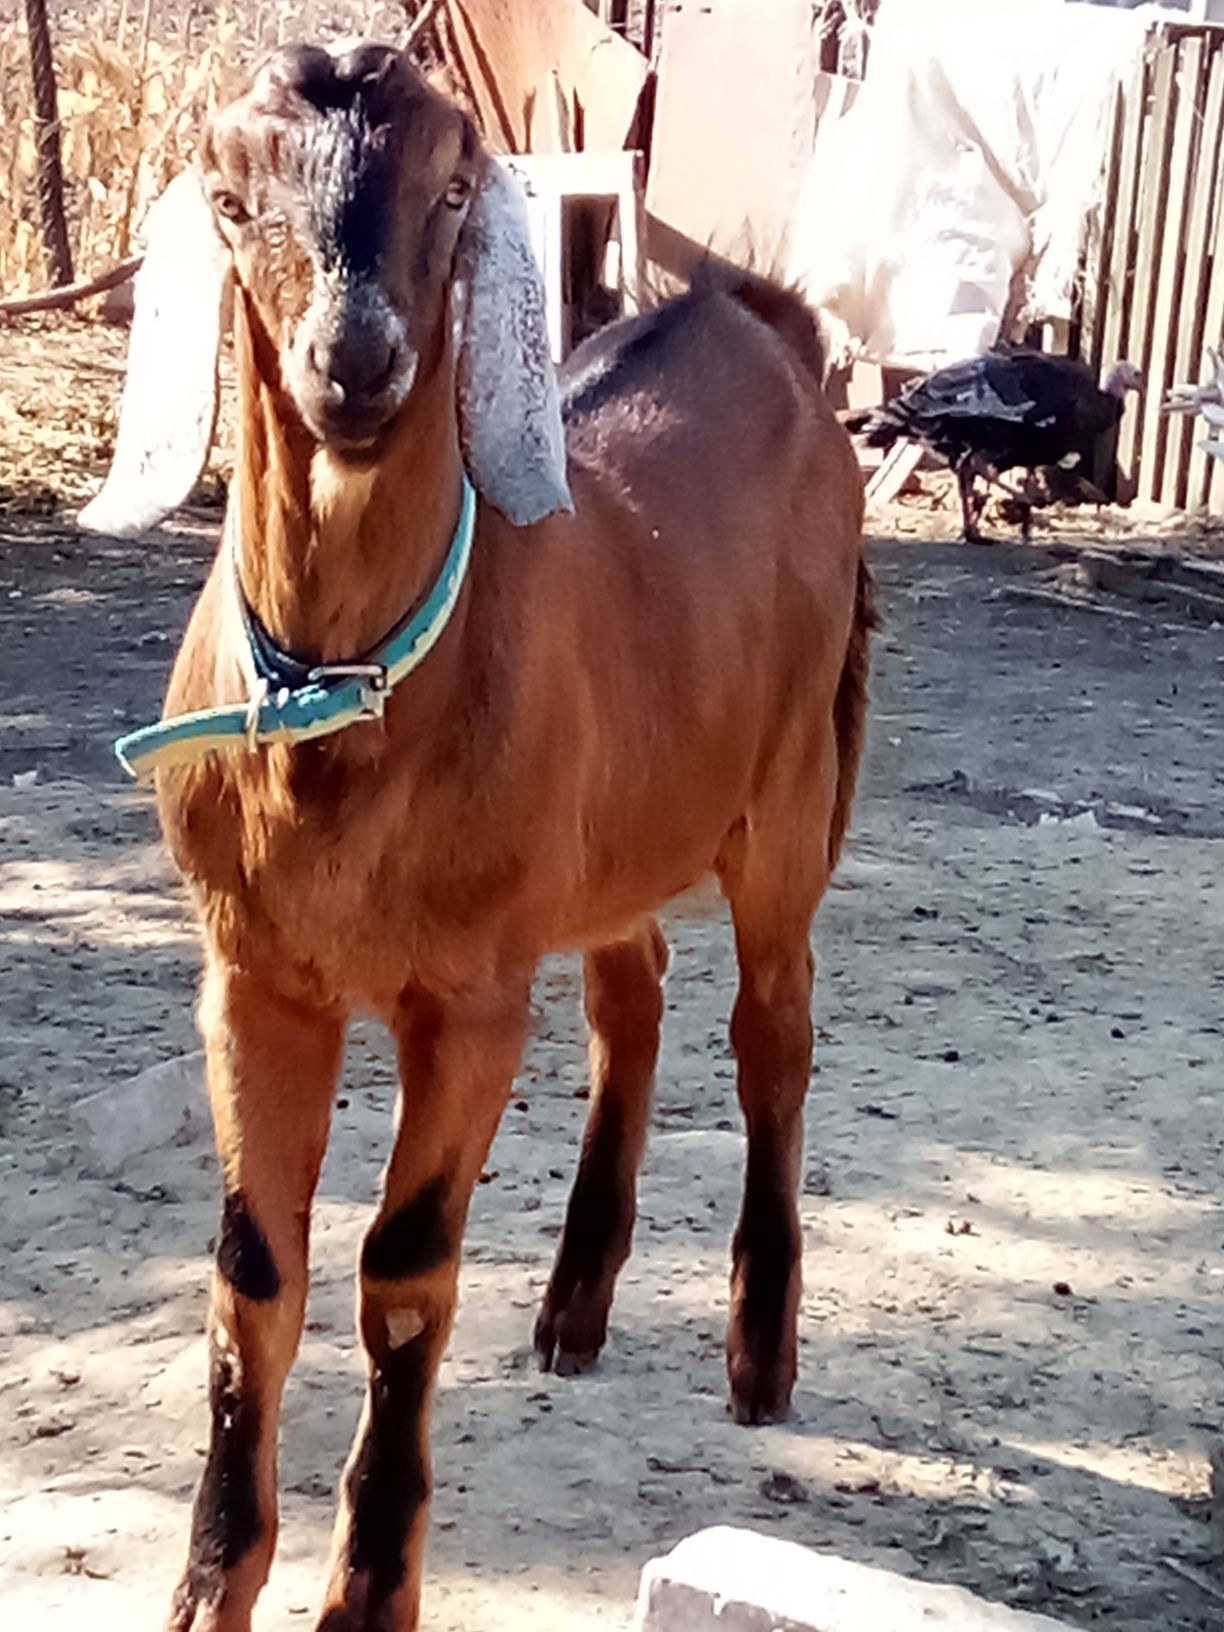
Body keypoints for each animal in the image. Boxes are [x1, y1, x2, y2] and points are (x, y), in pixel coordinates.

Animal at [84, 35, 874, 1632]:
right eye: (229, 192)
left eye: (454, 186)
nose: (357, 362)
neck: (345, 700)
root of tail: (757, 325)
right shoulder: (253, 976)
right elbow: (252, 1272)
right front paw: (209, 1585)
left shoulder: (469, 996)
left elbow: (404, 1272)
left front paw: (368, 1590)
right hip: (614, 829)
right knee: (634, 998)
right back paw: (574, 1306)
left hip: (787, 797)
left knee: (774, 1033)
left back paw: (760, 1354)